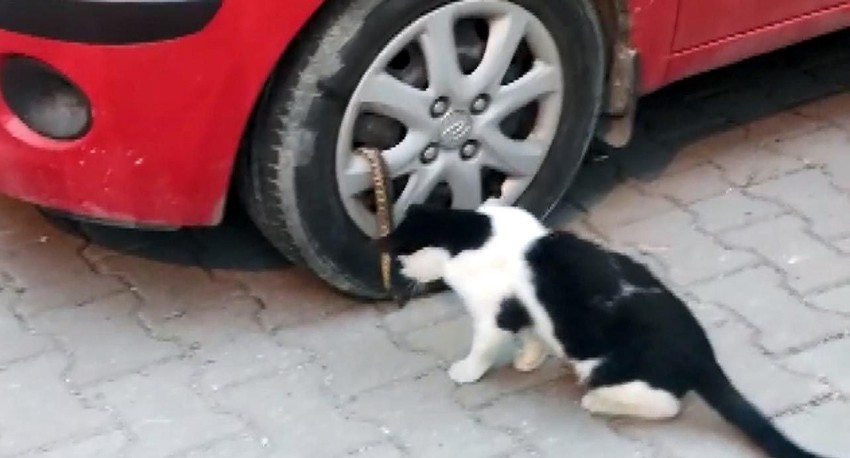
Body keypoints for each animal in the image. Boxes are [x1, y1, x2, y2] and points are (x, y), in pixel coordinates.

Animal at [378, 202, 828, 458]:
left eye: (403, 256)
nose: (401, 276)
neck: (474, 232)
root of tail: (702, 354)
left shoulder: (492, 312)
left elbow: (485, 344)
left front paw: (467, 371)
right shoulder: (526, 309)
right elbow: (533, 332)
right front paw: (529, 359)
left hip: (606, 366)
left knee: (666, 405)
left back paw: (598, 401)